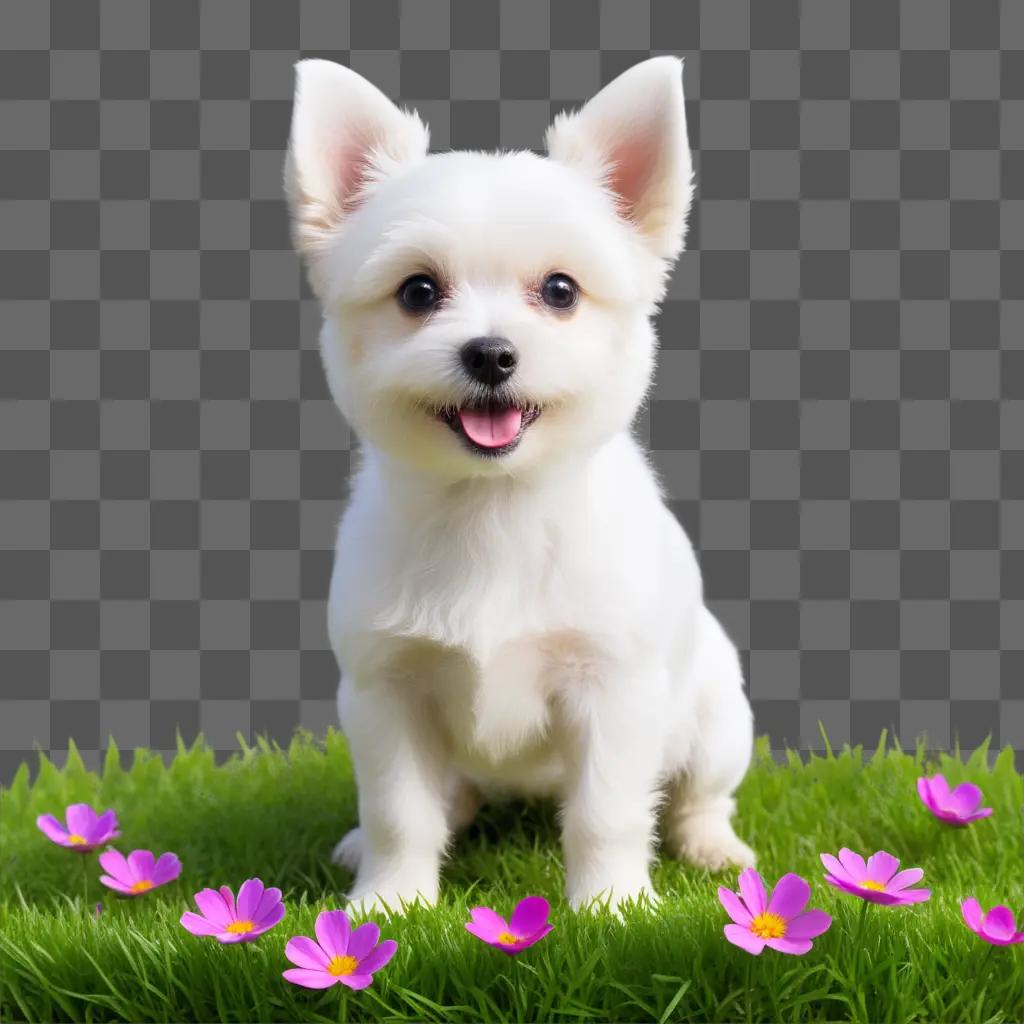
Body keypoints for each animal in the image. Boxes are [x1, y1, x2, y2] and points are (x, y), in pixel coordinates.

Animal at [284, 54, 757, 913]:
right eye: (418, 292)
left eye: (561, 291)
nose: (491, 353)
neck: (492, 508)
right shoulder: (385, 692)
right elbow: (399, 811)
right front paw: (388, 902)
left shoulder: (611, 692)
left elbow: (607, 812)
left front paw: (612, 909)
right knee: (446, 800)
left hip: (716, 721)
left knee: (698, 795)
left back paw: (711, 846)